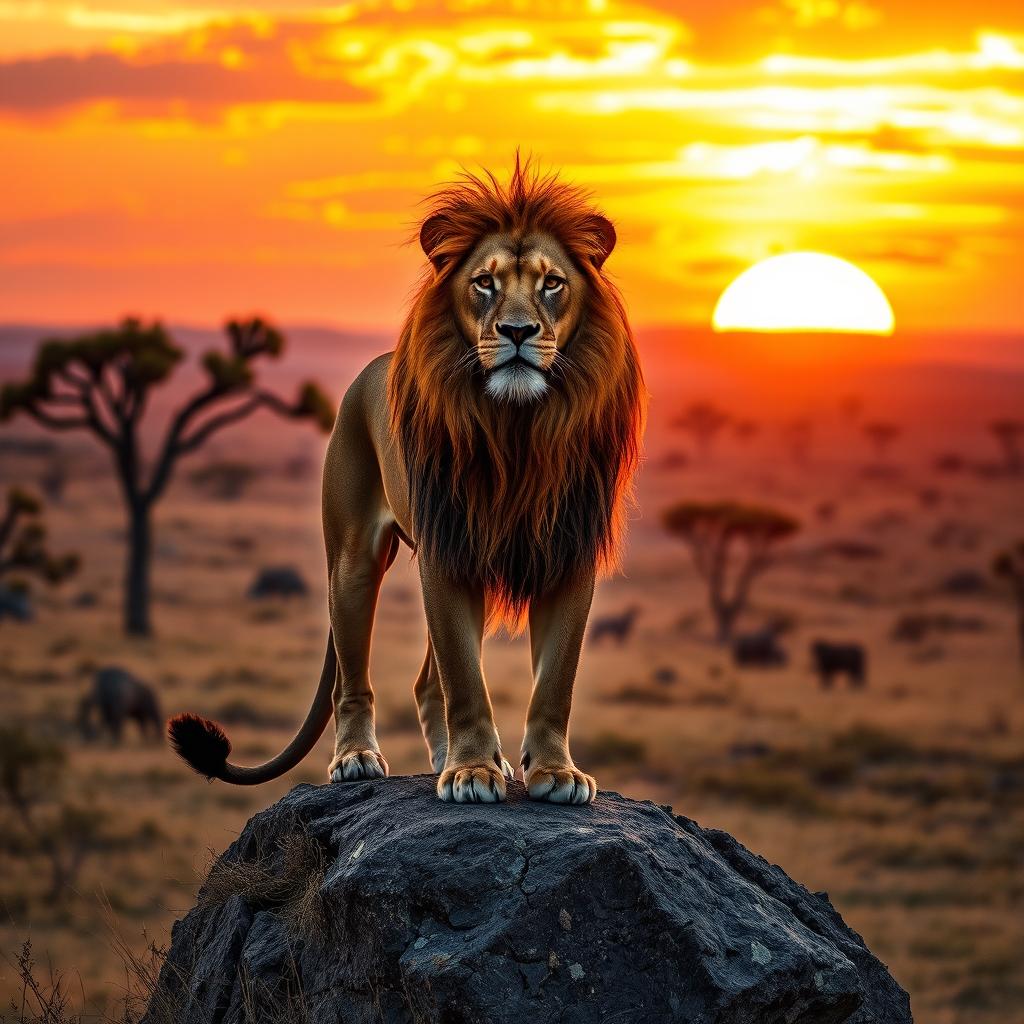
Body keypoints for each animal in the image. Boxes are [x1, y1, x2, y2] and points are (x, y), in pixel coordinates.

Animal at [171, 159, 643, 802]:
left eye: (552, 283)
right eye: (484, 282)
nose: (517, 331)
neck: (517, 426)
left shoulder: (569, 548)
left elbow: (556, 681)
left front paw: (553, 772)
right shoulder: (447, 550)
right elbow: (464, 678)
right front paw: (471, 772)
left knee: (426, 684)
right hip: (352, 562)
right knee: (354, 679)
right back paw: (357, 759)